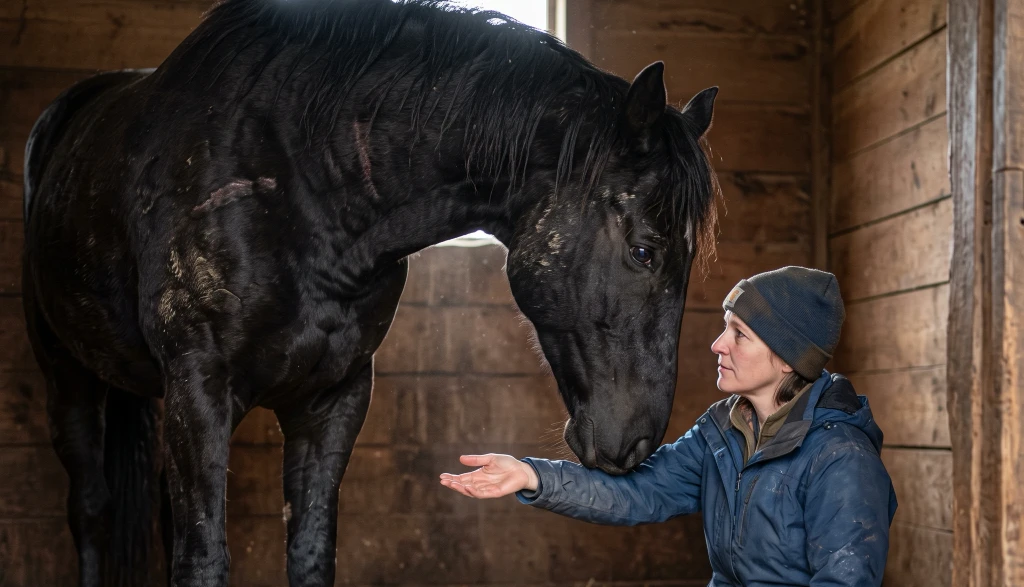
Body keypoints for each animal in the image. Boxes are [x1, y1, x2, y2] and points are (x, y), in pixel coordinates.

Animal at [20, 0, 720, 585]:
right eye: (644, 251)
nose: (637, 445)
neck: (300, 181)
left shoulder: (334, 399)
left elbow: (309, 551)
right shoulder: (200, 389)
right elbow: (202, 560)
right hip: (68, 378)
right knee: (91, 511)